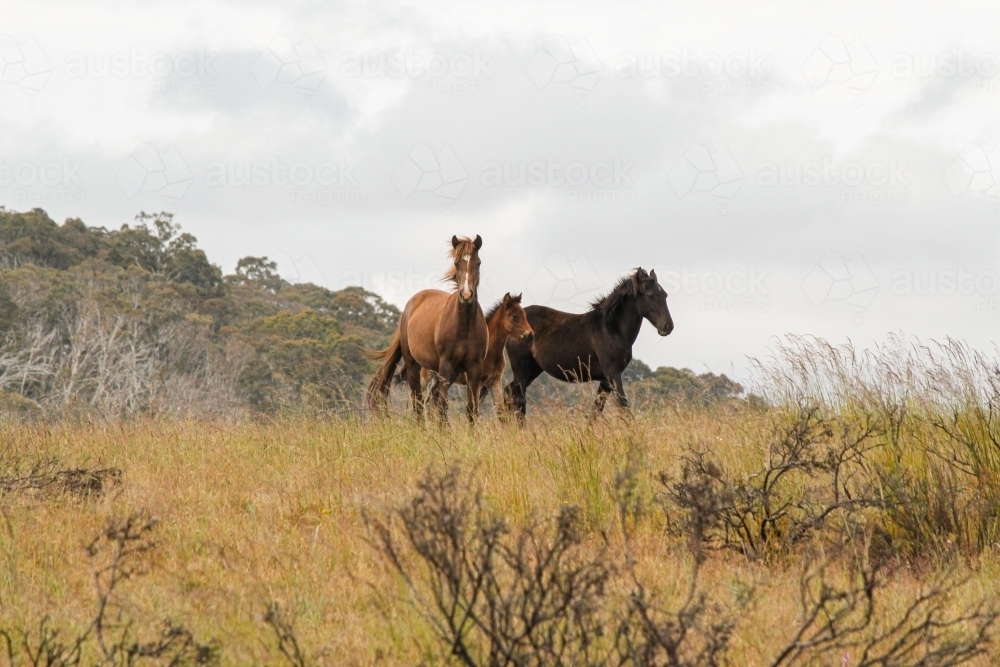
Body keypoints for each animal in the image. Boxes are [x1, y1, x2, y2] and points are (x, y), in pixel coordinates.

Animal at [370, 236, 490, 422]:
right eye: (456, 263)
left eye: (478, 263)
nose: (466, 295)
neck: (465, 327)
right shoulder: (446, 367)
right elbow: (442, 406)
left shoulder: (474, 369)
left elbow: (471, 409)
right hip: (415, 366)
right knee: (418, 402)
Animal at [504, 268, 676, 420]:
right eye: (650, 295)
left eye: (665, 295)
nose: (668, 326)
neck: (611, 329)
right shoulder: (613, 374)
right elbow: (624, 407)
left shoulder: (606, 379)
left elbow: (596, 410)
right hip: (521, 369)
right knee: (518, 400)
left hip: (533, 369)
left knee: (508, 393)